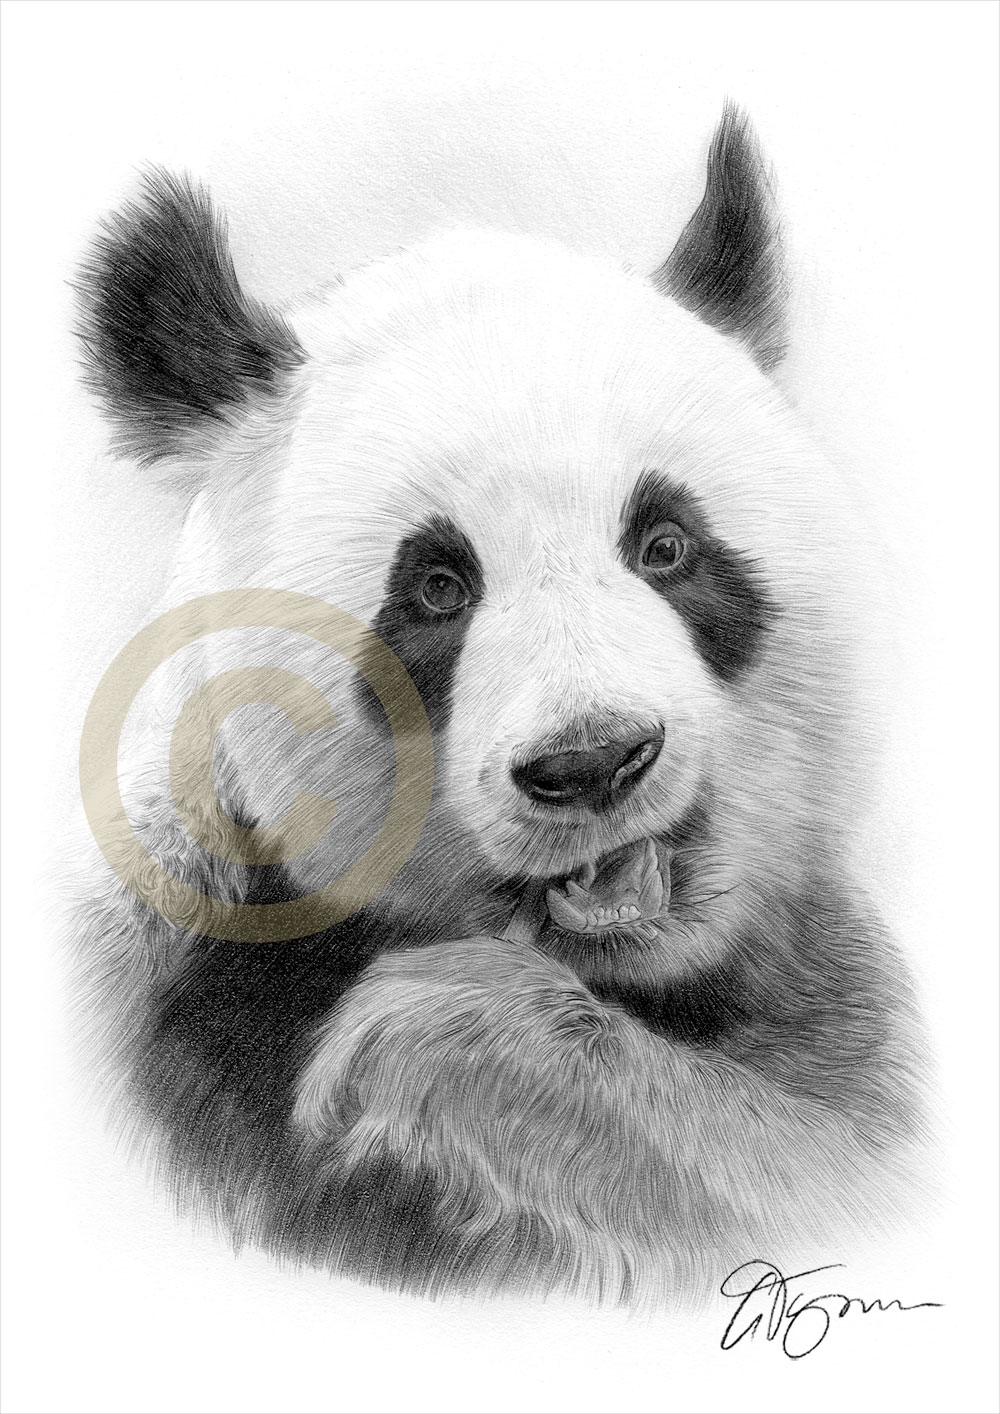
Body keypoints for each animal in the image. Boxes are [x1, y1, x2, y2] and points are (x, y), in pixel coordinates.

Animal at [72, 105, 930, 1308]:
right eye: (438, 587)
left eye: (665, 544)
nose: (595, 761)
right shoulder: (161, 937)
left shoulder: (827, 1000)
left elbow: (806, 1173)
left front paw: (428, 1042)